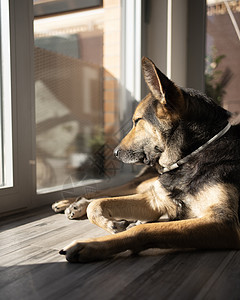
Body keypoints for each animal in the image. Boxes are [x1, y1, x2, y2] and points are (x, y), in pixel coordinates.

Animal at [56, 56, 240, 262]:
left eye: (137, 121)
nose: (115, 153)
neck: (192, 156)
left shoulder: (224, 222)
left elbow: (143, 230)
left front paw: (92, 245)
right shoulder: (156, 200)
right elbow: (99, 203)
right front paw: (110, 223)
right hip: (145, 184)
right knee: (106, 193)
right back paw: (72, 203)